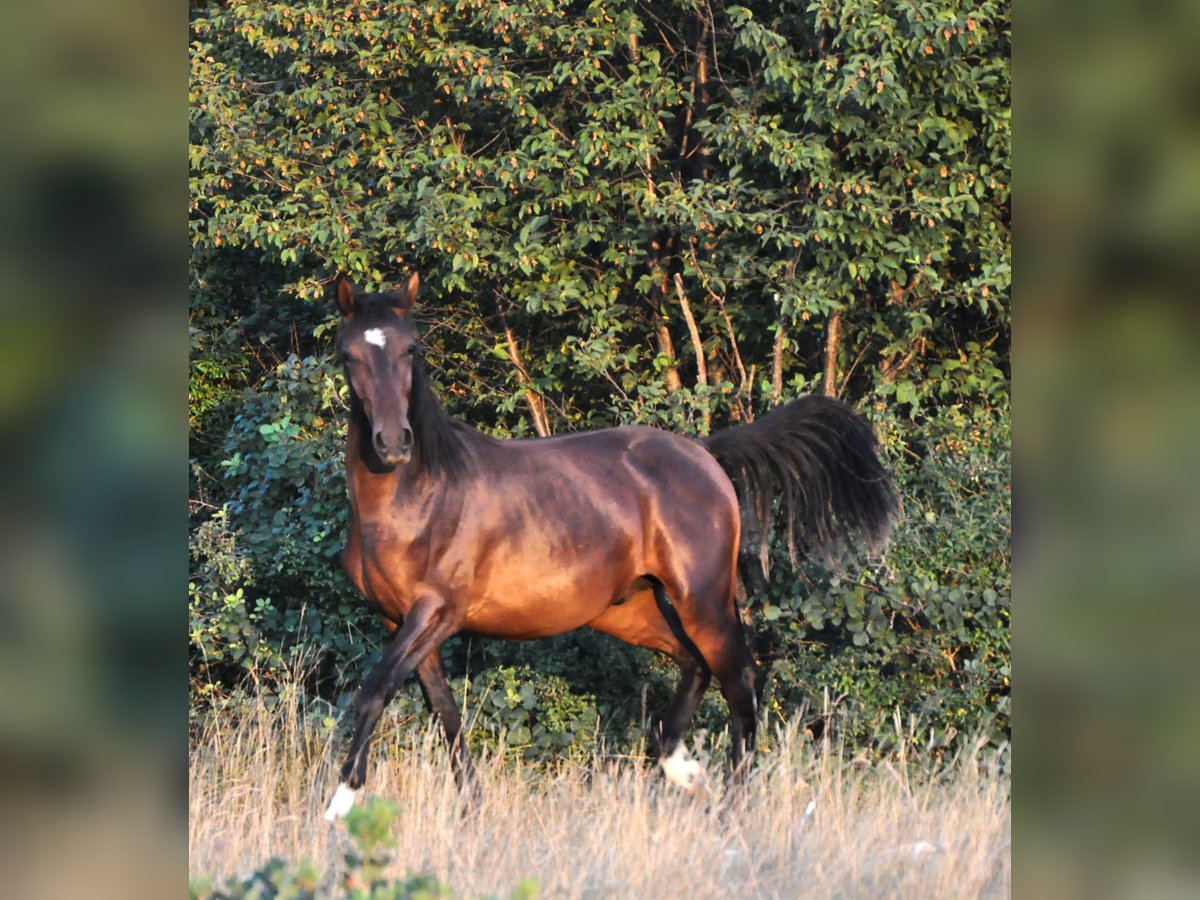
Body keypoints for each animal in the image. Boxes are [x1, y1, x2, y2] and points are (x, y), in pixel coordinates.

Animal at [324, 273, 897, 816]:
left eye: (411, 349)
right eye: (348, 354)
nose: (392, 443)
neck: (418, 497)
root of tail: (704, 453)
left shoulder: (437, 611)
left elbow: (374, 692)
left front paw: (339, 806)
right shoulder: (401, 619)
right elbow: (444, 713)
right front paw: (470, 812)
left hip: (702, 600)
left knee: (741, 683)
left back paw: (731, 810)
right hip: (628, 609)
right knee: (695, 665)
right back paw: (683, 770)